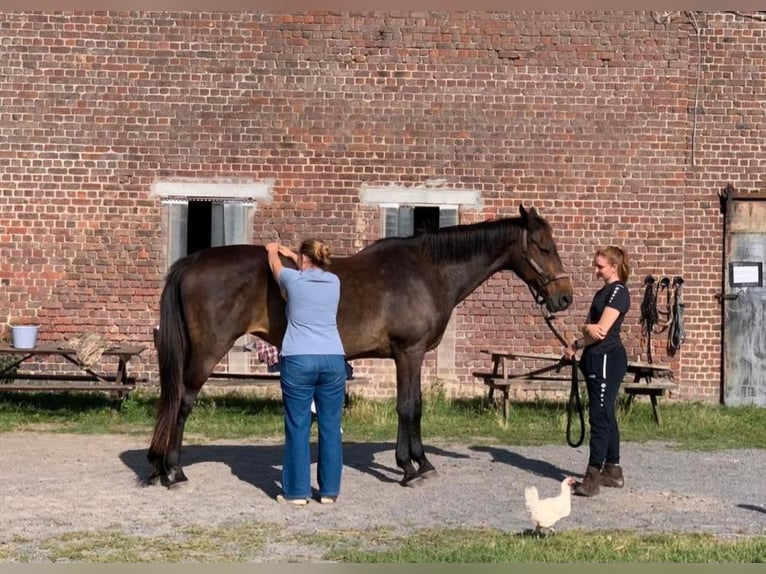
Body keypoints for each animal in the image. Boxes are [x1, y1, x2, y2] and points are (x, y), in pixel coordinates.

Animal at [150, 205, 572, 488]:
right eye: (543, 247)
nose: (564, 298)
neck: (429, 271)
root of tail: (190, 263)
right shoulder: (408, 352)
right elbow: (407, 407)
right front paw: (409, 467)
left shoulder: (413, 356)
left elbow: (415, 407)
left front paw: (422, 463)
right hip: (207, 353)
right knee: (181, 402)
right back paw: (174, 470)